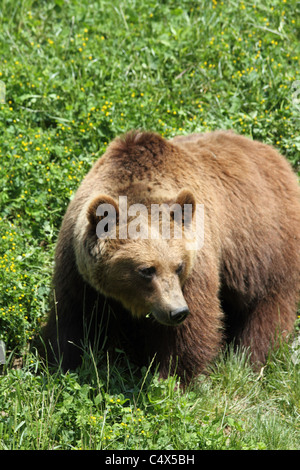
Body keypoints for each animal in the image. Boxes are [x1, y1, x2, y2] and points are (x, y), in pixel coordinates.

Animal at [41, 130, 300, 384]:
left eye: (179, 266)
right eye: (146, 269)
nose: (177, 311)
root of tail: (277, 157)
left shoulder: (197, 263)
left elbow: (190, 330)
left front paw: (174, 377)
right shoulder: (78, 270)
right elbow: (74, 318)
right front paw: (63, 360)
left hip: (266, 247)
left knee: (268, 309)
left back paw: (250, 360)